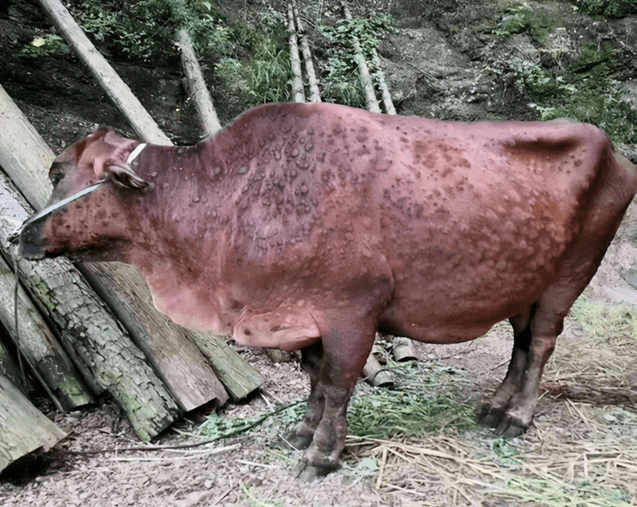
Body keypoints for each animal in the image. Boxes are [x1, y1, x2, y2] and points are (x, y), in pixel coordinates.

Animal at [18, 102, 636, 480]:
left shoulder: (350, 311)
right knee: (521, 342)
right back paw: (495, 406)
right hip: (524, 285)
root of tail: (614, 151)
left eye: (56, 171)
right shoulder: (300, 315)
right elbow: (314, 380)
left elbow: (338, 384)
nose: (19, 235)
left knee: (542, 344)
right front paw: (300, 431)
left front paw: (322, 453)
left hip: (568, 276)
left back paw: (518, 417)